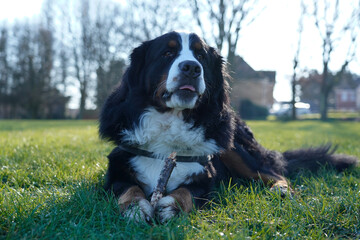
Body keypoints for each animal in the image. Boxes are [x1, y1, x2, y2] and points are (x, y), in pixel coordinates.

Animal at [97, 30, 358, 223]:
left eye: (201, 57)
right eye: (167, 53)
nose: (192, 68)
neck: (170, 123)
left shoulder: (205, 178)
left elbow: (187, 191)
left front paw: (173, 206)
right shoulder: (117, 169)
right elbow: (129, 189)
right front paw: (136, 208)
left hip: (234, 148)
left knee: (274, 174)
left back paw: (281, 190)